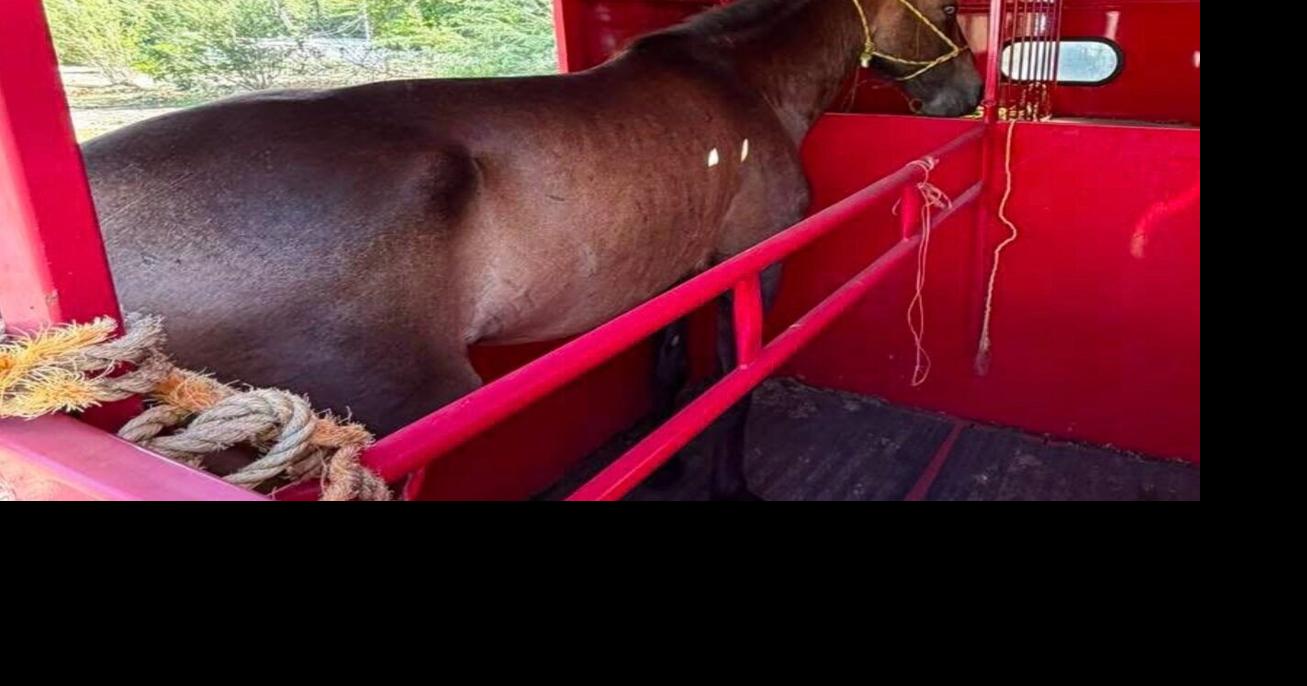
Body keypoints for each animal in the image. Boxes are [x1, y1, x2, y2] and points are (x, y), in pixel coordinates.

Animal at [82, 0, 982, 500]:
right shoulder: (751, 267)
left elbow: (667, 372)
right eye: (945, 7)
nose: (969, 93)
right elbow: (735, 385)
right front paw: (728, 484)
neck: (741, 84)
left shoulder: (675, 274)